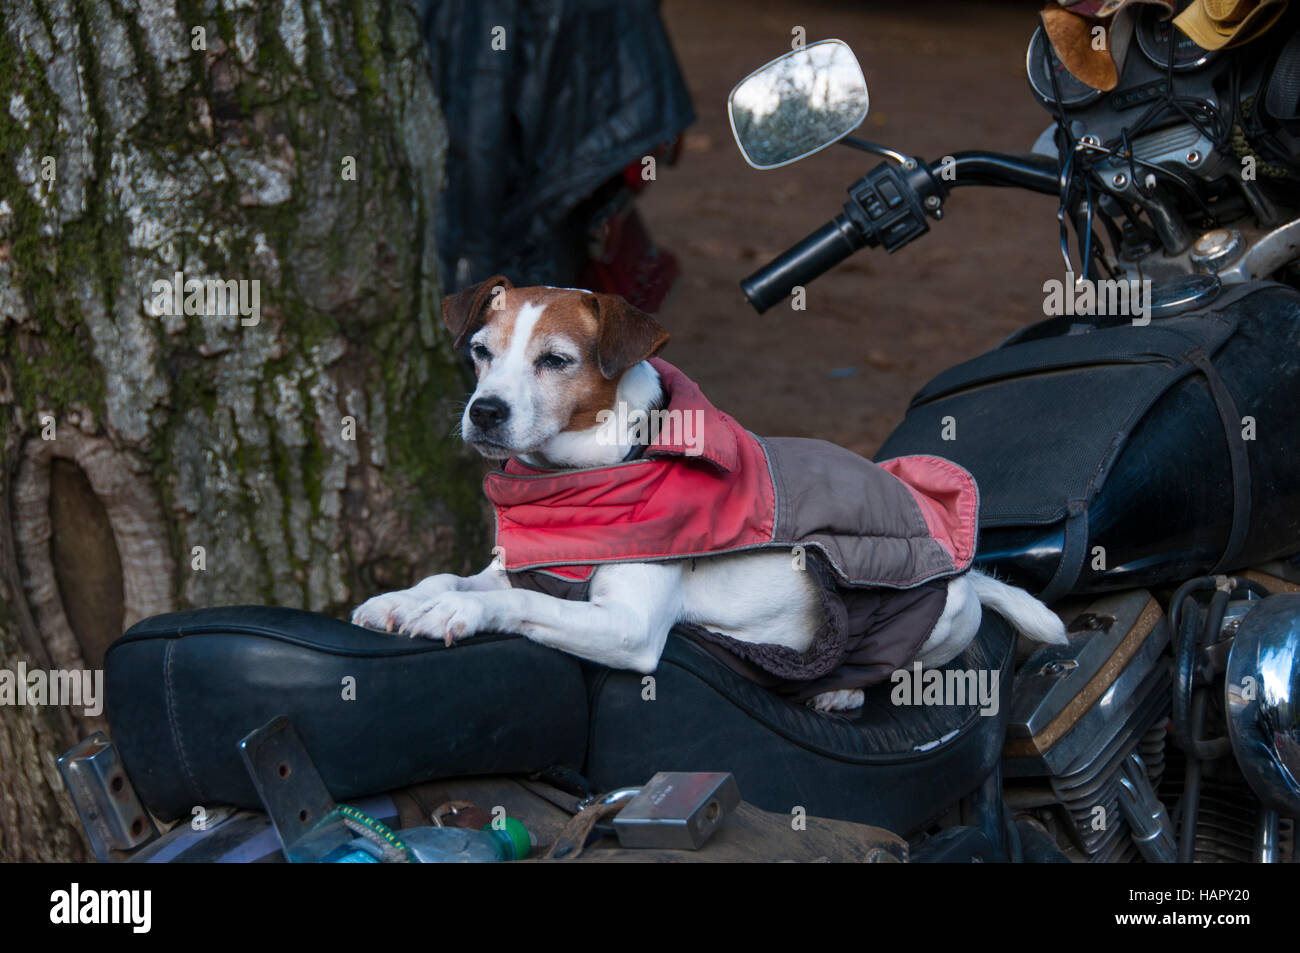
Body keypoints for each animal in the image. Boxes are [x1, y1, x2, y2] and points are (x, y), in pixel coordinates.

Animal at [356, 275, 1066, 707]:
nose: (484, 412)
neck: (576, 483)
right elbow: (450, 578)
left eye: (555, 360)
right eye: (480, 351)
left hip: (942, 621)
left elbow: (513, 604)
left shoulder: (627, 628)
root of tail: (968, 572)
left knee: (901, 668)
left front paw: (456, 614)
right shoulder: (523, 568)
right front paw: (403, 598)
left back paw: (842, 689)